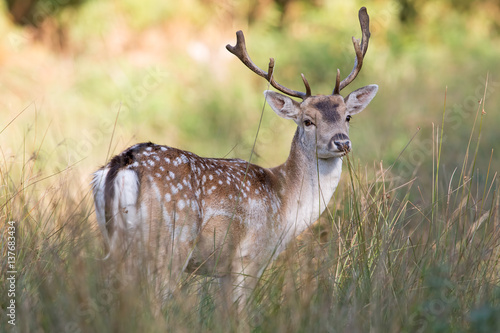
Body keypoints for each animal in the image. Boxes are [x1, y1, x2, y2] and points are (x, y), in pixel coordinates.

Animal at [92, 7, 376, 308]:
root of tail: (122, 165)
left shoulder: (226, 269)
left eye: (347, 116)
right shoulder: (249, 257)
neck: (286, 205)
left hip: (112, 239)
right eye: (308, 121)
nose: (341, 142)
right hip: (169, 242)